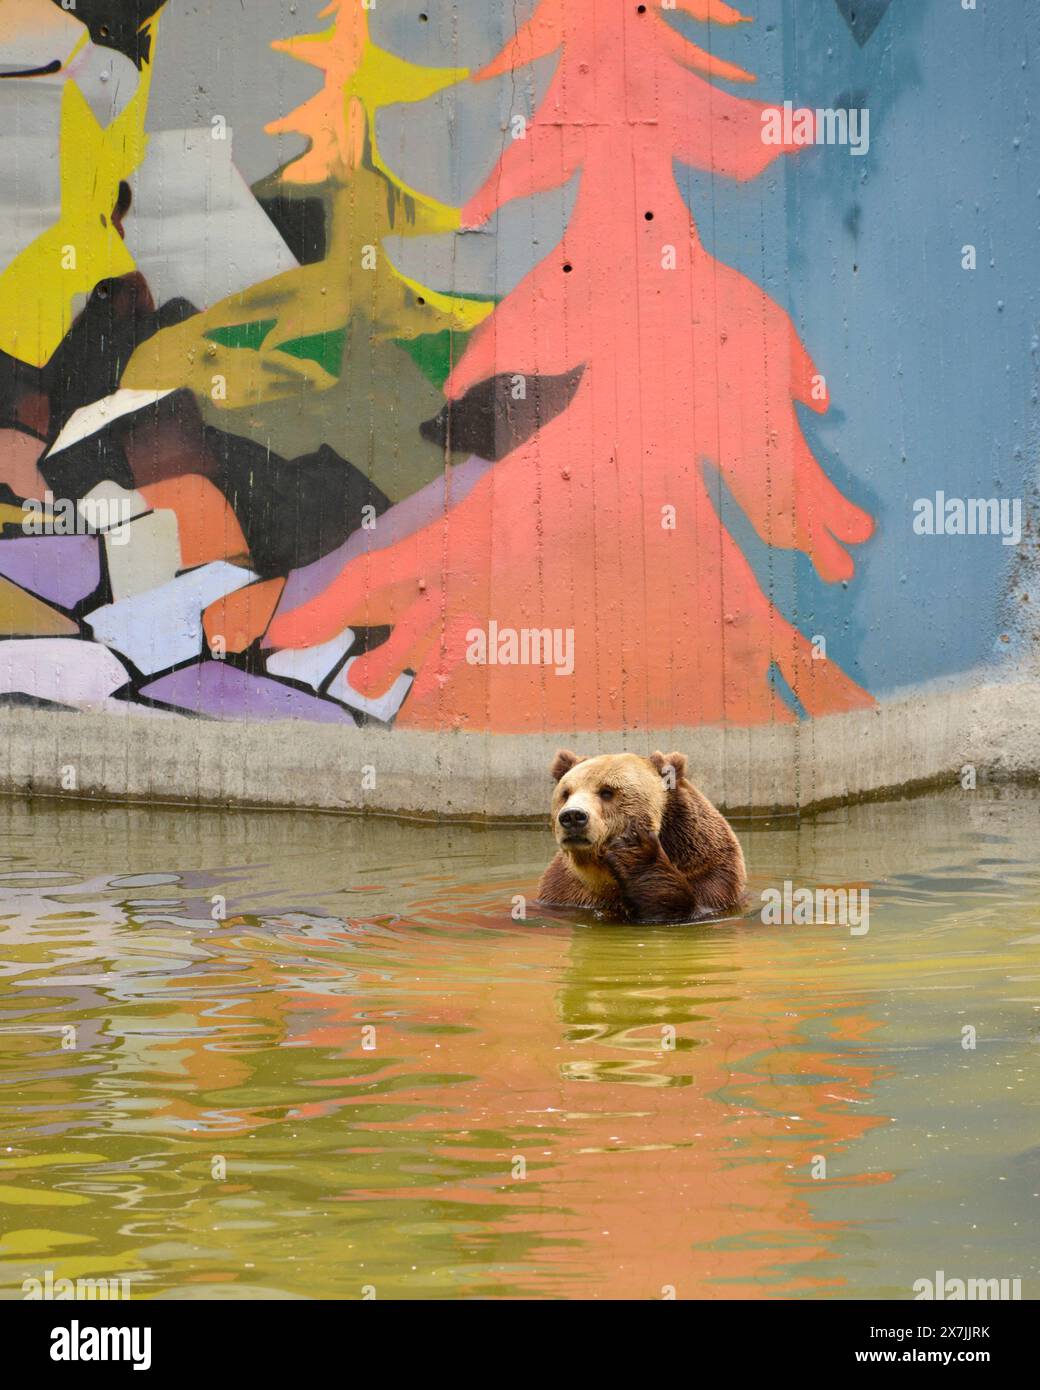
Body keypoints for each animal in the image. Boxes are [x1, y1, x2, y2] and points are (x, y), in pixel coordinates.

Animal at [537, 749, 747, 924]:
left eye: (607, 792)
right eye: (566, 793)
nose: (573, 816)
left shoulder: (709, 871)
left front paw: (633, 850)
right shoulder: (566, 892)